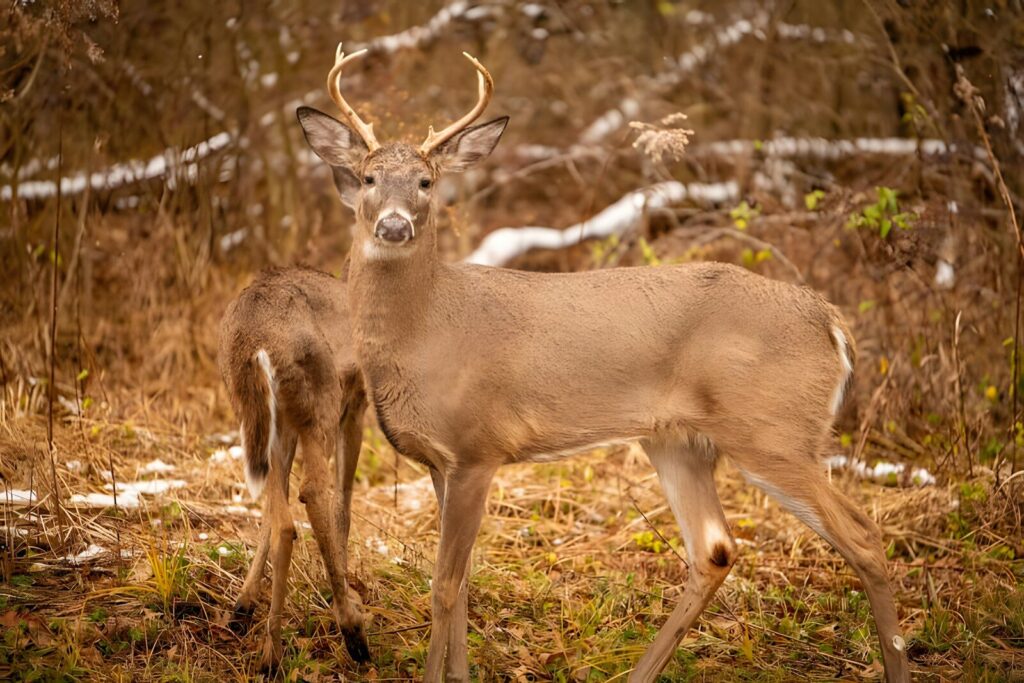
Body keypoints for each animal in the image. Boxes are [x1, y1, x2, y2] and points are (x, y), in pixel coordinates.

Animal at [218, 265, 373, 669]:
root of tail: (255, 344)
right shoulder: (356, 402)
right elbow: (343, 501)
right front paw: (344, 588)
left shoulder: (285, 425)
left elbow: (272, 509)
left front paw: (244, 604)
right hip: (319, 397)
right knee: (313, 493)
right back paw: (352, 630)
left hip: (260, 413)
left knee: (281, 517)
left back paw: (265, 646)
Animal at [294, 44, 912, 682]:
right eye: (368, 177)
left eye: (425, 181)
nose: (394, 224)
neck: (426, 332)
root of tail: (833, 323)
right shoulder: (444, 462)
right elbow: (460, 586)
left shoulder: (478, 449)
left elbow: (443, 586)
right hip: (678, 440)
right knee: (715, 549)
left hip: (774, 429)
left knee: (864, 537)